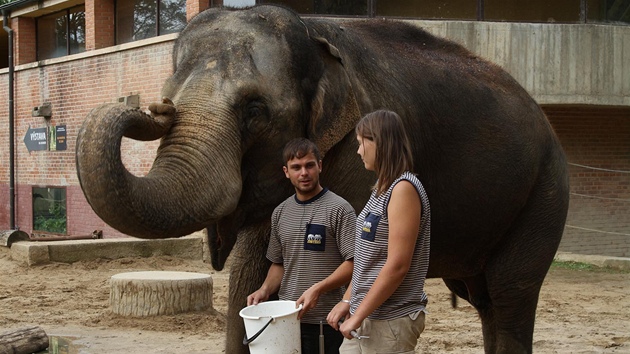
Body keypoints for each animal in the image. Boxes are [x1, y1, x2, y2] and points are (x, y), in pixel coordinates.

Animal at [76, 4, 572, 354]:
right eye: (170, 94)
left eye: (254, 110)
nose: (154, 108)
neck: (314, 32)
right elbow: (250, 274)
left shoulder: (355, 154)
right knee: (485, 300)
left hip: (545, 194)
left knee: (510, 294)